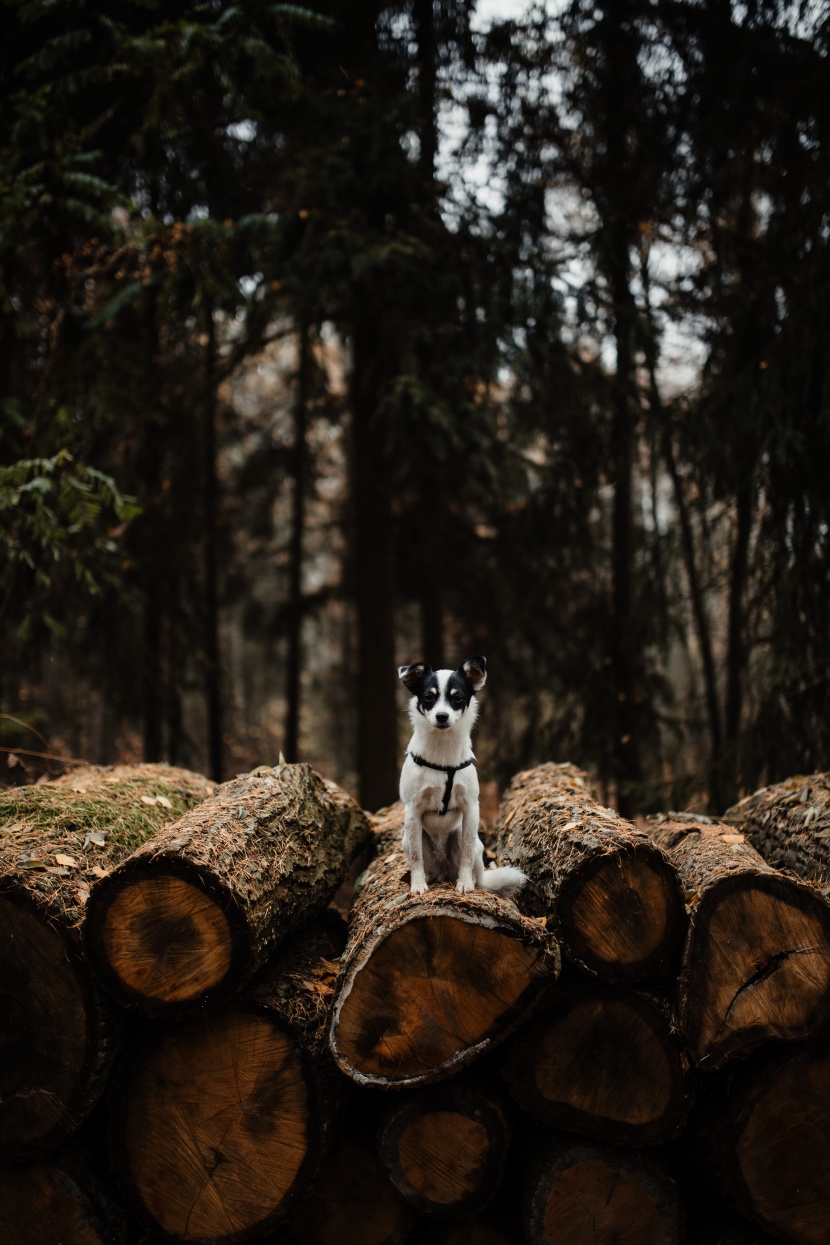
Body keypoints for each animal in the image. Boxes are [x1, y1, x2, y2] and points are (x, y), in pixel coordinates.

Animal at [398, 657, 525, 901]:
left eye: (457, 698)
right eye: (428, 697)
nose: (442, 716)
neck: (442, 752)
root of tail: (444, 870)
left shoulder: (471, 808)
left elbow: (466, 852)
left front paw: (465, 884)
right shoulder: (412, 810)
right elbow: (416, 857)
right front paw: (417, 885)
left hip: (469, 841)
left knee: (472, 865)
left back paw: (468, 880)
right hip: (409, 838)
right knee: (421, 859)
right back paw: (427, 878)